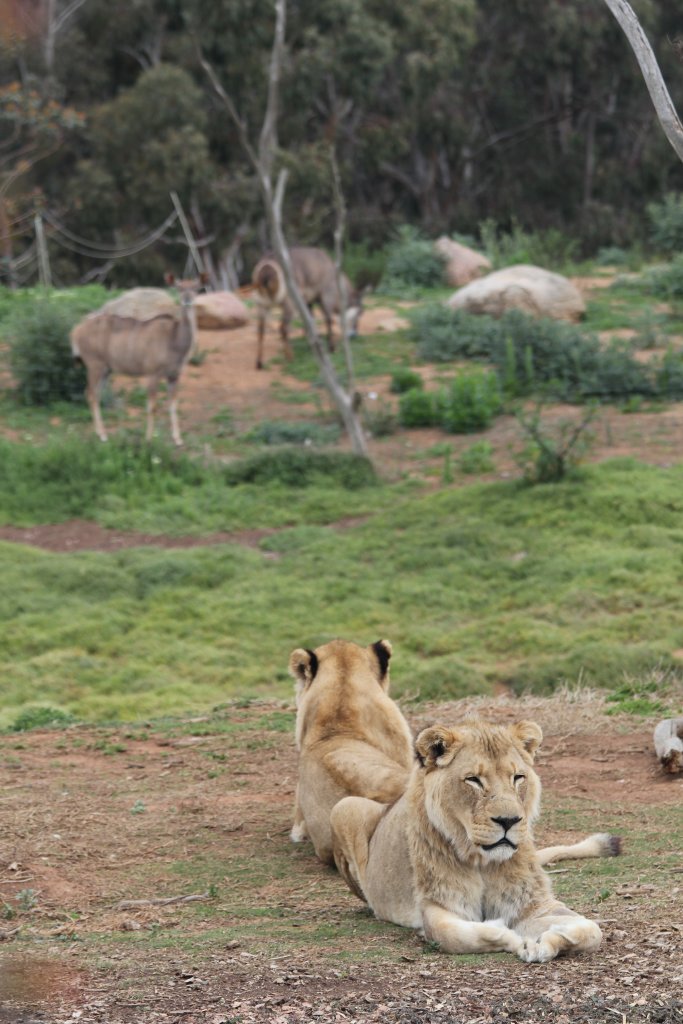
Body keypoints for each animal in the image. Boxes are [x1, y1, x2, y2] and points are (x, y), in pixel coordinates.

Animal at [331, 718, 609, 962]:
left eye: (518, 777)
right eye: (473, 780)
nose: (508, 821)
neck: (483, 862)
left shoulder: (534, 904)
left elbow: (592, 930)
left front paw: (543, 943)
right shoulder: (438, 904)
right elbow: (457, 935)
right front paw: (514, 938)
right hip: (345, 807)